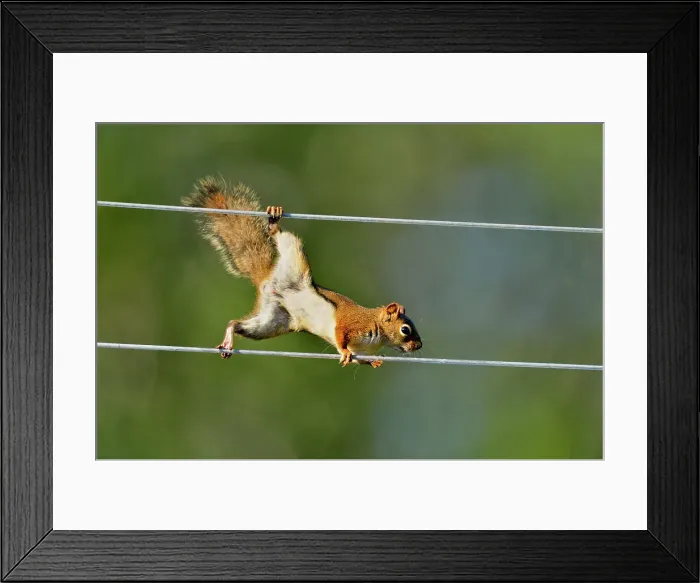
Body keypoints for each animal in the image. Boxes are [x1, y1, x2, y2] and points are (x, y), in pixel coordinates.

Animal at [183, 177, 422, 368]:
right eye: (405, 330)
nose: (419, 346)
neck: (377, 332)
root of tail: (267, 277)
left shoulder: (360, 348)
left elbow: (359, 357)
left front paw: (372, 361)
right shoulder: (349, 323)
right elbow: (341, 337)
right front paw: (345, 353)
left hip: (271, 322)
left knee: (236, 324)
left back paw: (229, 337)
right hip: (293, 254)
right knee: (281, 236)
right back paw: (274, 220)